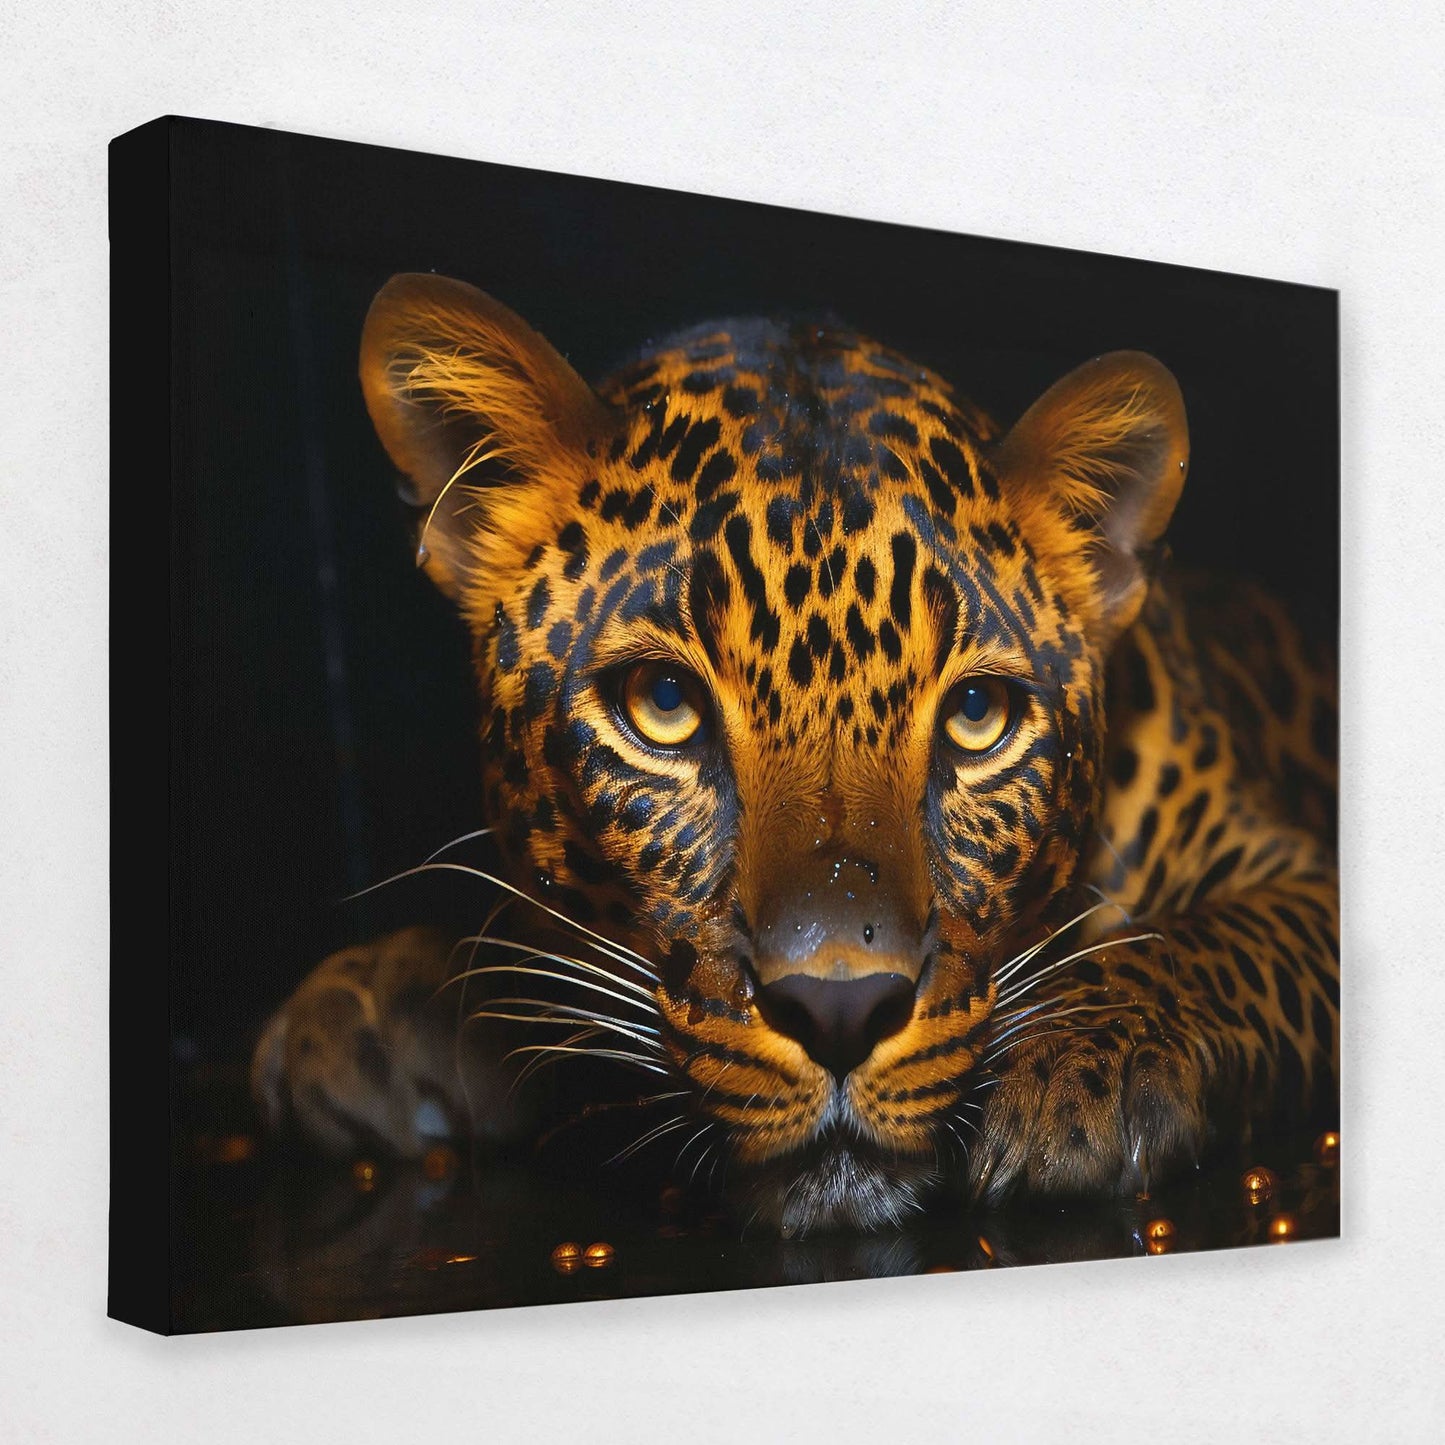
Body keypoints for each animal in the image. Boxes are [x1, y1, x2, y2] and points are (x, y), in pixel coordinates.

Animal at [252, 272, 1339, 1238]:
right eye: (663, 705)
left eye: (976, 714)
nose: (840, 1008)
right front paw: (375, 1002)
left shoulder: (1300, 875)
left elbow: (1213, 941)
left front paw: (1079, 1067)